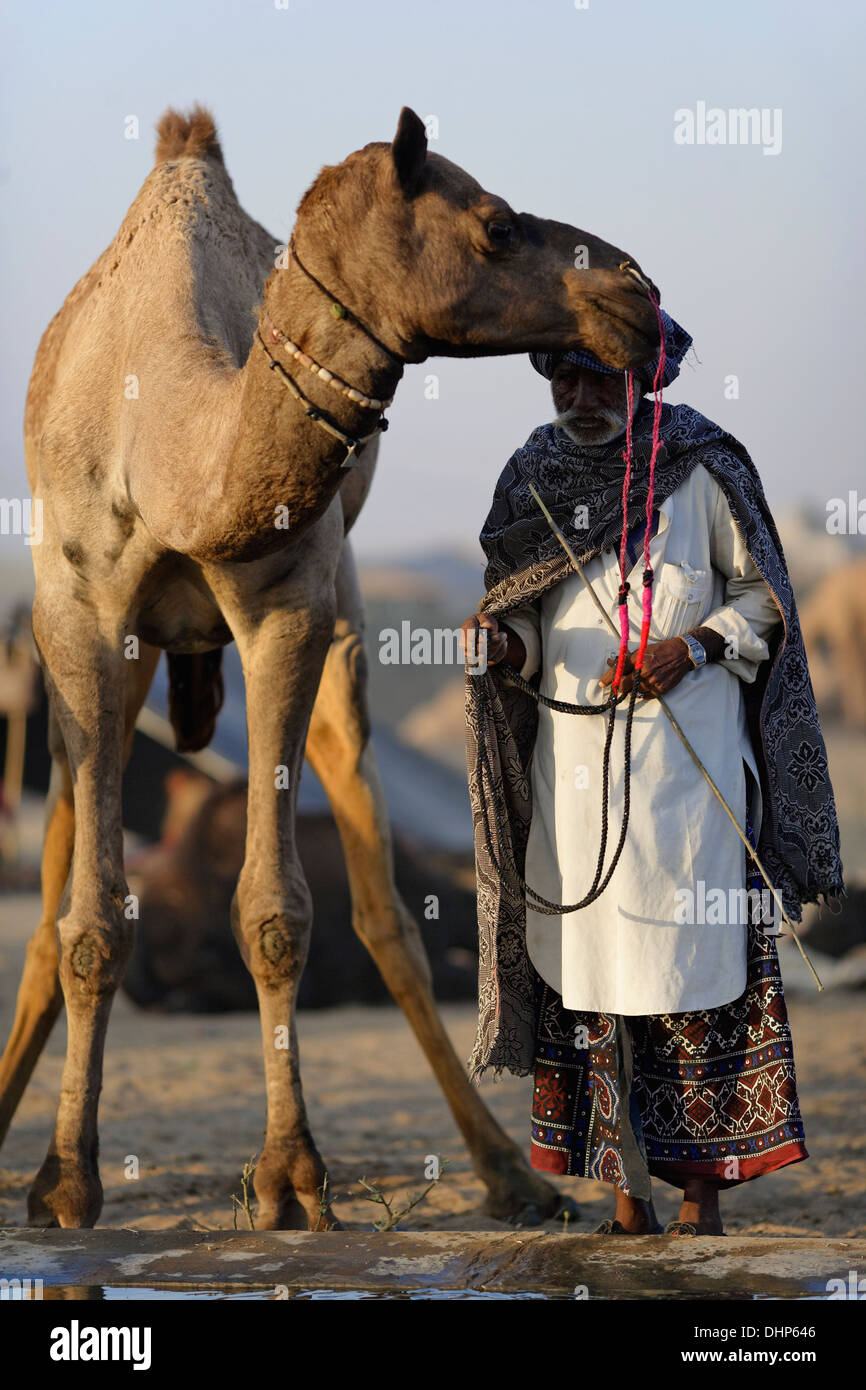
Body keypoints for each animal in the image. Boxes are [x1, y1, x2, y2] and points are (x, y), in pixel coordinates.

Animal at [0, 105, 658, 1229]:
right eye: (494, 225)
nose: (637, 294)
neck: (170, 447)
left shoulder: (291, 606)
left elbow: (278, 912)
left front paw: (293, 1178)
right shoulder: (78, 616)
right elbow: (86, 928)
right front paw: (69, 1182)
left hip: (342, 633)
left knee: (384, 912)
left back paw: (510, 1173)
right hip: (106, 664)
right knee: (50, 913)